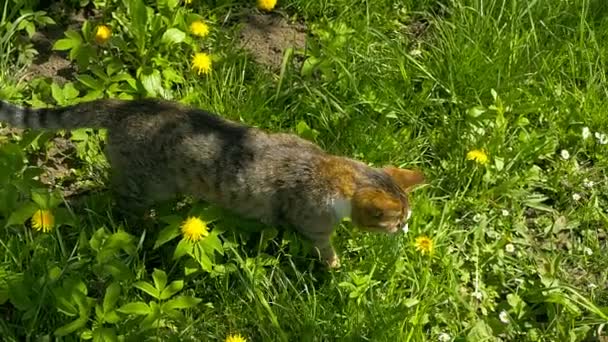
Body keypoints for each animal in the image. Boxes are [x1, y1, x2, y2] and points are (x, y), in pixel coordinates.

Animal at [0, 99, 422, 268]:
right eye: (397, 222)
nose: (405, 231)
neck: (333, 171)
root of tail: (129, 105)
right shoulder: (311, 223)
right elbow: (323, 246)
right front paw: (334, 265)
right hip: (146, 185)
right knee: (120, 199)